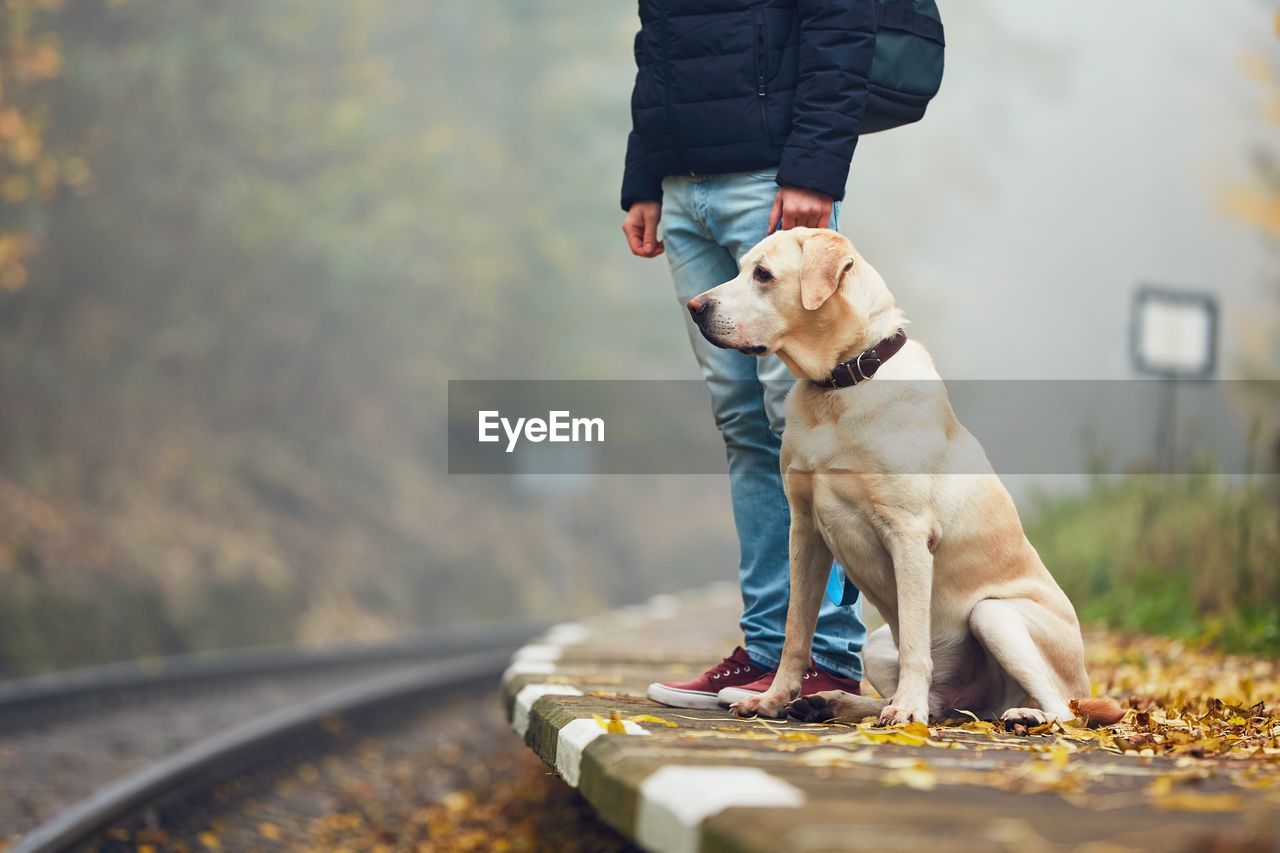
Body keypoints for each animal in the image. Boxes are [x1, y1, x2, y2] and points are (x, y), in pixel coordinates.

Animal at [691, 229, 1121, 727]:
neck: (842, 382)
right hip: (880, 644)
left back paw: (1020, 716)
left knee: (1062, 710)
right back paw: (832, 702)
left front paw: (906, 709)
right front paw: (774, 700)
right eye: (741, 268)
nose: (695, 306)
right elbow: (796, 632)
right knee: (938, 703)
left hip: (994, 616)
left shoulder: (910, 534)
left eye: (763, 274)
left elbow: (916, 641)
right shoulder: (805, 531)